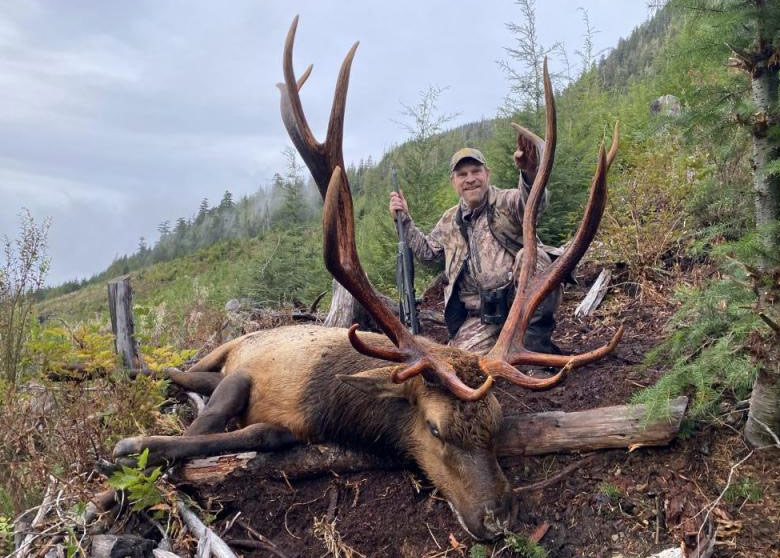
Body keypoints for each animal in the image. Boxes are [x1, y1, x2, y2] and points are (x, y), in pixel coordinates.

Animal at [113, 17, 622, 541]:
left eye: (495, 424)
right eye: (435, 428)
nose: (498, 518)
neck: (333, 409)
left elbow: (263, 431)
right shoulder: (246, 376)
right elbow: (219, 419)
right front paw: (131, 452)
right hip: (229, 344)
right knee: (182, 368)